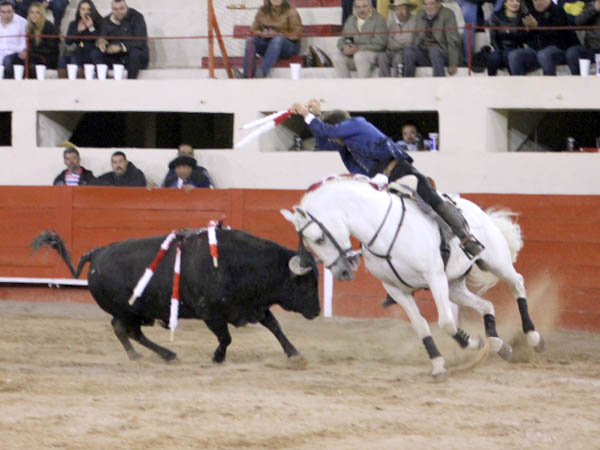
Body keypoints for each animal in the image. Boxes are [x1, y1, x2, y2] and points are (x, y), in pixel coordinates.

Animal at [31, 229, 320, 363]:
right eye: (305, 284)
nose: (317, 311)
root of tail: (97, 253)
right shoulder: (211, 314)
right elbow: (226, 338)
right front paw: (217, 357)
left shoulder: (252, 307)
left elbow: (275, 326)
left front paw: (294, 353)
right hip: (128, 310)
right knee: (127, 331)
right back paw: (160, 354)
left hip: (133, 311)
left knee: (126, 331)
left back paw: (152, 355)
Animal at [281, 174, 545, 380]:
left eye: (319, 239)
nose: (343, 272)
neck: (382, 230)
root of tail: (477, 210)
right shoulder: (396, 289)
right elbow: (421, 325)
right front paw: (439, 364)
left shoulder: (434, 276)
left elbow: (446, 322)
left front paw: (472, 342)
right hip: (454, 286)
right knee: (487, 305)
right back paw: (498, 344)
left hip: (496, 262)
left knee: (517, 284)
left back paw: (533, 338)